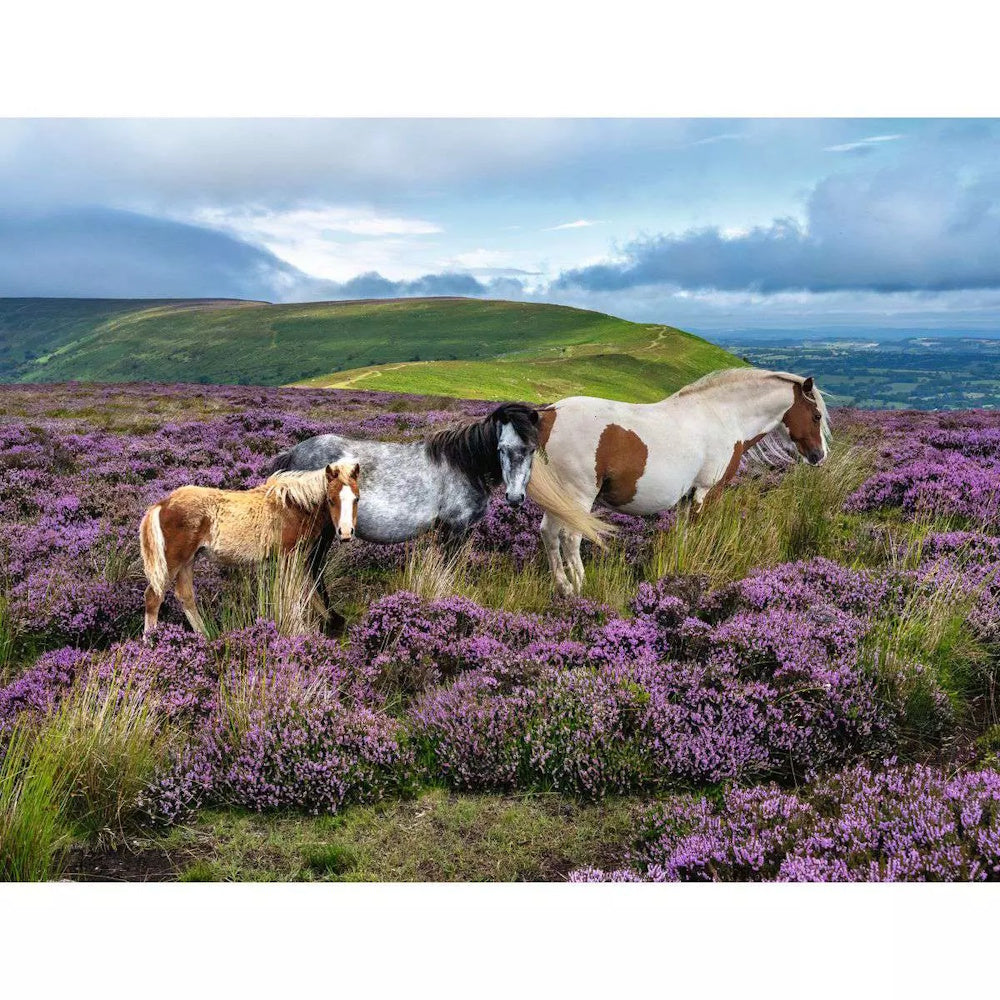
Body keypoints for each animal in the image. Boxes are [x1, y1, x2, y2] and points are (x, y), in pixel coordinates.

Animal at [139, 460, 361, 636]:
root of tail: (162, 504)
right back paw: (150, 642)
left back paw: (205, 638)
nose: (345, 533)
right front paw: (299, 632)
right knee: (153, 597)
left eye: (356, 498)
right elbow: (292, 594)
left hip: (188, 560)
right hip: (173, 560)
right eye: (331, 500)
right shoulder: (288, 556)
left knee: (185, 597)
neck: (294, 506)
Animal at [268, 402, 610, 610]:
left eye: (531, 448)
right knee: (312, 569)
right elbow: (448, 570)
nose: (514, 498)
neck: (464, 464)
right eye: (501, 447)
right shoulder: (455, 528)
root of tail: (292, 455)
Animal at [532, 368, 831, 596]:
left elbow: (685, 535)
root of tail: (550, 414)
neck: (723, 416)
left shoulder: (689, 496)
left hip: (559, 499)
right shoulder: (707, 491)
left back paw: (564, 588)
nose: (819, 456)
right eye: (816, 416)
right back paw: (581, 587)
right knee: (570, 538)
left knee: (549, 533)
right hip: (578, 496)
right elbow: (700, 532)